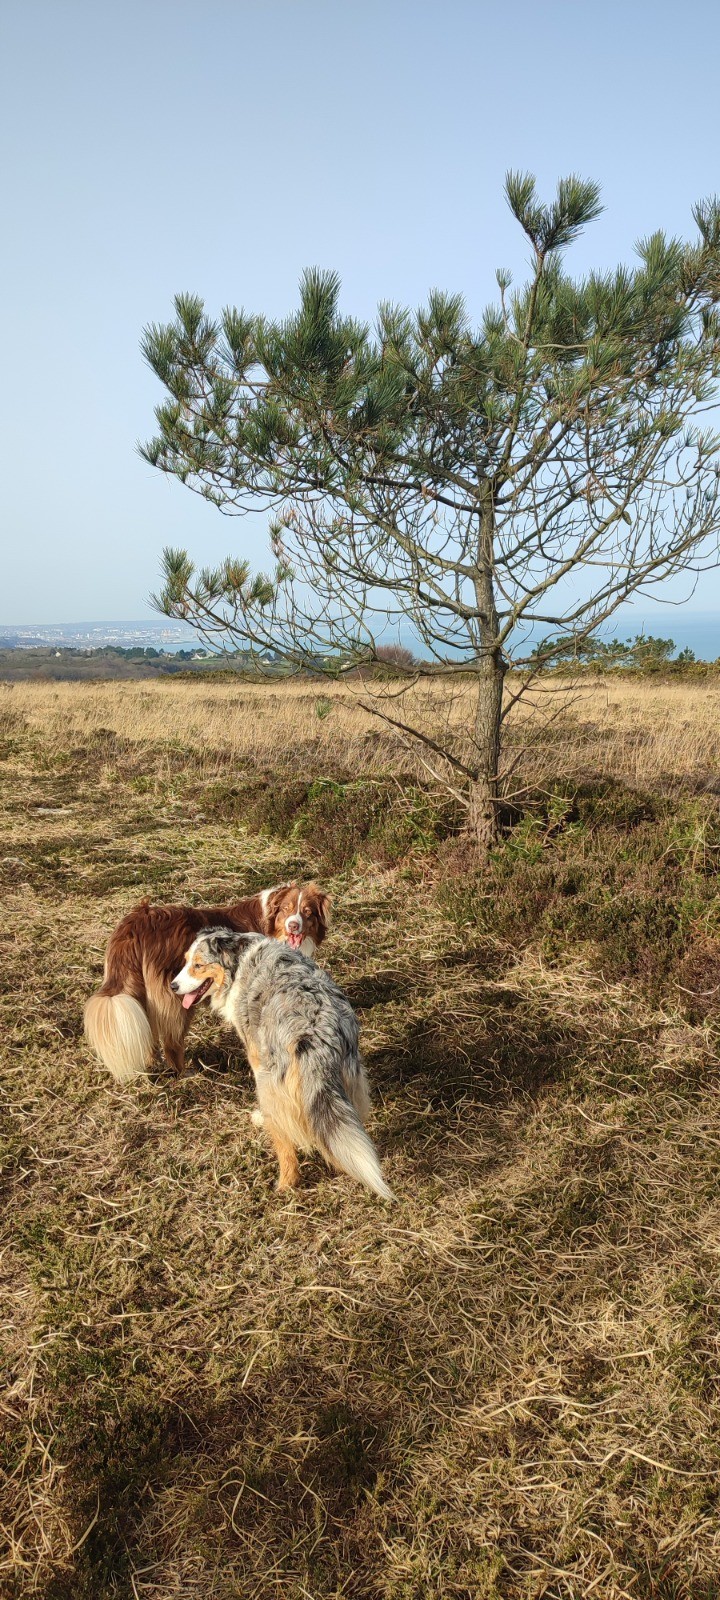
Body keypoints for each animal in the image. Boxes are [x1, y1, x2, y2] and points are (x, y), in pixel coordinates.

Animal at [84, 882, 330, 1083]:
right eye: (286, 909)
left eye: (307, 912)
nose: (293, 925)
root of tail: (137, 922)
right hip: (175, 996)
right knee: (172, 1042)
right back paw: (184, 1073)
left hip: (142, 993)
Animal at [171, 929, 394, 1201]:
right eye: (185, 961)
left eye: (198, 965)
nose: (173, 986)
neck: (238, 961)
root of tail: (316, 1031)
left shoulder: (255, 1055)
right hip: (349, 1078)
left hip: (270, 1086)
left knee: (286, 1141)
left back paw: (286, 1182)